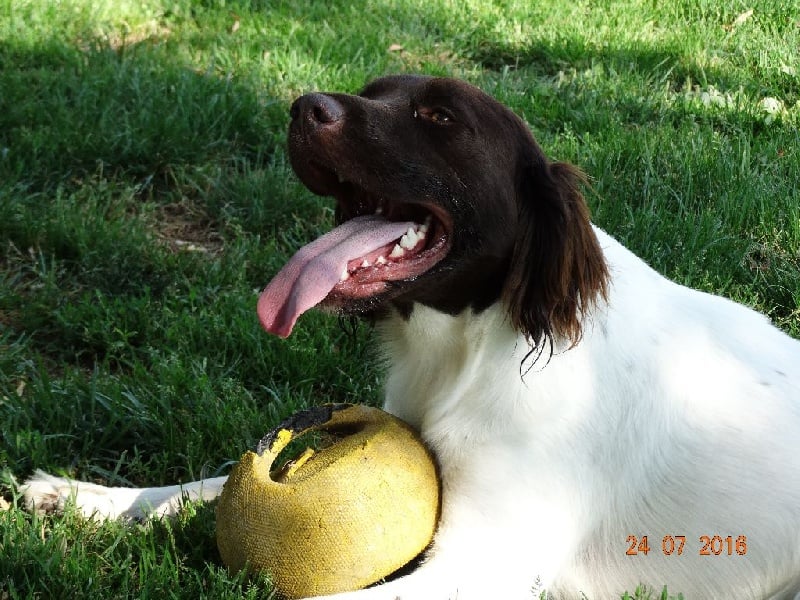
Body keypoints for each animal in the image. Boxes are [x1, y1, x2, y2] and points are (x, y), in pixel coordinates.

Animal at [24, 75, 800, 599]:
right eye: (373, 92)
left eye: (438, 116)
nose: (302, 107)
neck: (477, 343)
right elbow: (199, 486)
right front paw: (83, 496)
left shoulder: (484, 561)